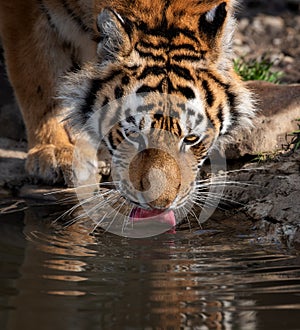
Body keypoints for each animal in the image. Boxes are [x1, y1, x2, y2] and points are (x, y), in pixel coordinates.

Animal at [0, 0, 254, 227]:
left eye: (191, 139)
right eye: (133, 134)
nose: (159, 206)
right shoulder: (24, 11)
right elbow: (38, 80)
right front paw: (54, 151)